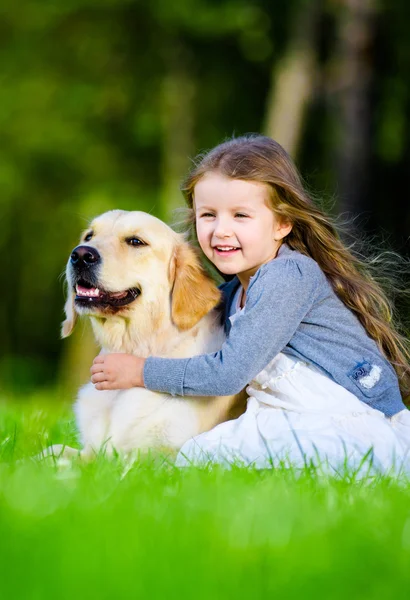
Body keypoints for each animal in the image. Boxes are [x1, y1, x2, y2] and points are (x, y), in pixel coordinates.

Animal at [48, 209, 247, 462]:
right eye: (89, 236)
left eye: (135, 241)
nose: (81, 255)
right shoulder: (93, 451)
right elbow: (53, 451)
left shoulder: (161, 455)